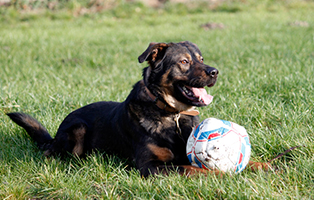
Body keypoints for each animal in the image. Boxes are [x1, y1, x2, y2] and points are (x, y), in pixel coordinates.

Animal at [6, 40, 268, 177]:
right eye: (184, 61)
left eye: (201, 58)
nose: (215, 72)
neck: (170, 114)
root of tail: (53, 137)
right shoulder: (149, 166)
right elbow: (191, 167)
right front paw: (222, 174)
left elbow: (250, 161)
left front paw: (265, 165)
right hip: (76, 129)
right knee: (55, 154)